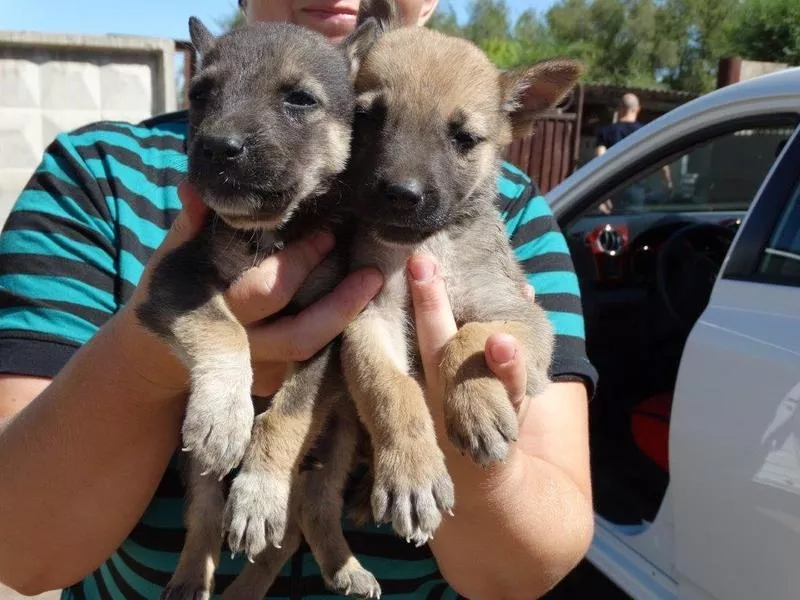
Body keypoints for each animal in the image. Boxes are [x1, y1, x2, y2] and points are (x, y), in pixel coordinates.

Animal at [134, 16, 382, 600]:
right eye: (200, 94)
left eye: (300, 99)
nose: (216, 147)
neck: (266, 236)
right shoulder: (175, 276)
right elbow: (223, 326)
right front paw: (225, 414)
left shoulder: (326, 338)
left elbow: (286, 415)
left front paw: (258, 493)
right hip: (194, 462)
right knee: (204, 513)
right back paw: (190, 578)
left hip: (341, 434)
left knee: (311, 511)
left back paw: (345, 568)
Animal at [338, 0, 580, 548]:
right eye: (367, 117)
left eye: (464, 138)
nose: (401, 194)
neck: (429, 247)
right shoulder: (369, 319)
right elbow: (391, 389)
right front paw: (411, 474)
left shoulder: (518, 315)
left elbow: (465, 341)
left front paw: (476, 406)